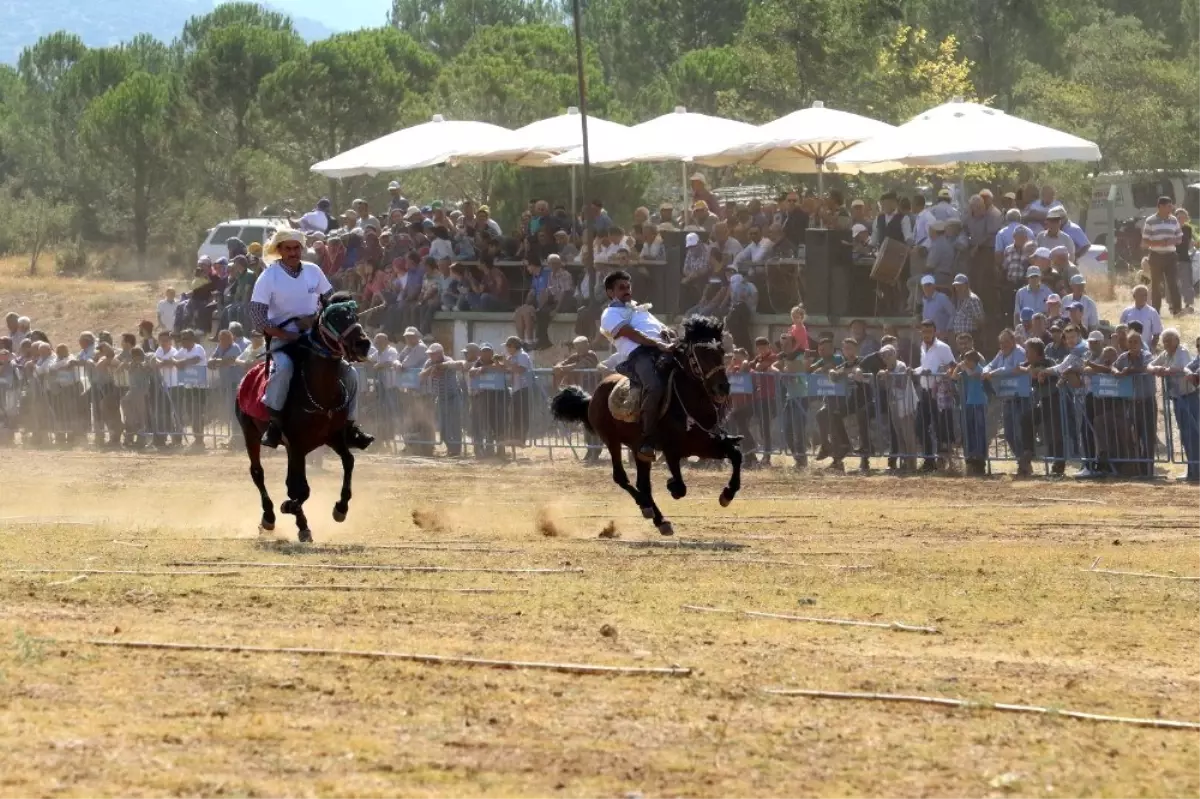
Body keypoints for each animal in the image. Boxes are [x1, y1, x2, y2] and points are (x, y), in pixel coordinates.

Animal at [231, 292, 367, 542]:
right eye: (333, 318)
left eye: (355, 315)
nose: (364, 344)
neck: (321, 391)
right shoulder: (296, 443)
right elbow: (300, 489)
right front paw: (288, 508)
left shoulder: (332, 437)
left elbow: (348, 462)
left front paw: (340, 508)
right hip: (250, 433)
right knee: (258, 473)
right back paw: (270, 517)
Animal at [549, 314, 739, 532]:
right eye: (701, 352)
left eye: (721, 351)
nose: (722, 387)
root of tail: (593, 396)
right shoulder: (672, 449)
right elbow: (680, 486)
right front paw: (672, 485)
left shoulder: (704, 443)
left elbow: (736, 455)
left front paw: (727, 494)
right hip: (612, 441)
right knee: (622, 478)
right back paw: (647, 506)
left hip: (637, 448)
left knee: (643, 483)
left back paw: (658, 518)